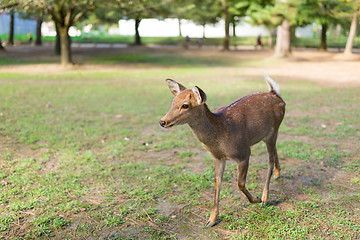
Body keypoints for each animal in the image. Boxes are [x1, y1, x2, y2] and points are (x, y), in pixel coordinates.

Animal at [159, 74, 286, 228]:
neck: (220, 136)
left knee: (270, 160)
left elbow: (240, 184)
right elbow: (217, 183)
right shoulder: (217, 158)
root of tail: (276, 95)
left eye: (185, 105)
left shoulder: (244, 152)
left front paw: (255, 199)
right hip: (267, 135)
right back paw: (278, 174)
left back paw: (264, 198)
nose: (162, 121)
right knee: (275, 151)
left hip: (273, 130)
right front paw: (211, 220)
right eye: (173, 101)